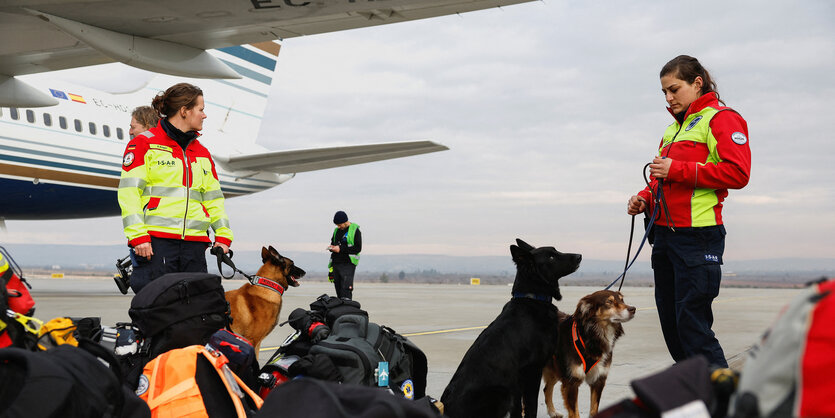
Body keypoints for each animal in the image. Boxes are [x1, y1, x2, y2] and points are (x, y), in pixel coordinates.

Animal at [444, 238, 580, 418]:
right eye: (551, 257)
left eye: (556, 251)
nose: (579, 256)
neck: (532, 298)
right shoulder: (531, 371)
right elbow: (530, 407)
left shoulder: (518, 382)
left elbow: (518, 409)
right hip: (501, 393)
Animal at [544, 290, 632, 418]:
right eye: (609, 302)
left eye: (621, 299)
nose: (633, 309)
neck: (590, 337)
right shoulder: (571, 381)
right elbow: (575, 413)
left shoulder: (598, 380)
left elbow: (594, 409)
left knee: (546, 389)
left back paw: (553, 412)